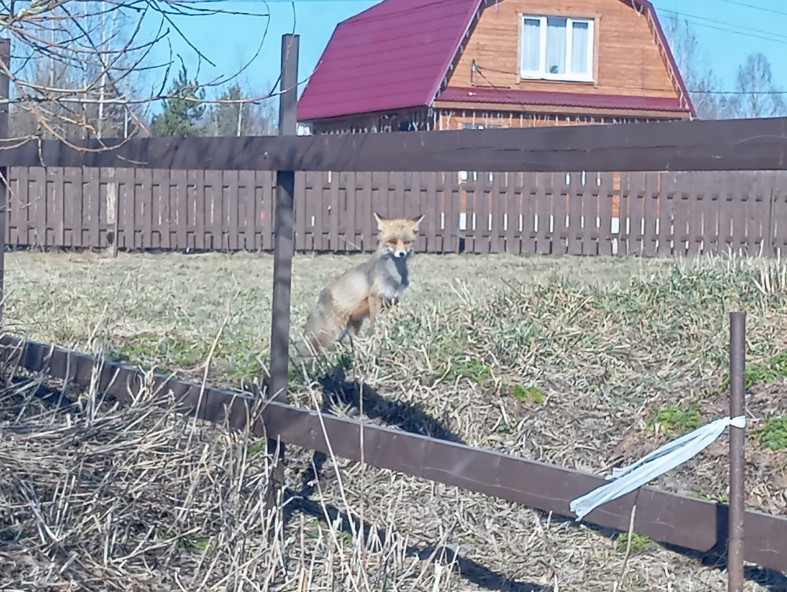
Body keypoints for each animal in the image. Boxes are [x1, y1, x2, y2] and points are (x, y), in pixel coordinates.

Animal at [293, 212, 425, 364]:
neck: (394, 276)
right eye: (392, 241)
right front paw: (377, 341)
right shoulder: (375, 297)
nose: (402, 254)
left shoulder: (393, 299)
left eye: (407, 242)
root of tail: (318, 301)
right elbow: (375, 324)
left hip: (352, 327)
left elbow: (390, 322)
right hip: (331, 335)